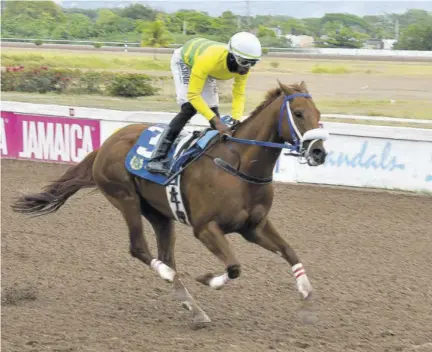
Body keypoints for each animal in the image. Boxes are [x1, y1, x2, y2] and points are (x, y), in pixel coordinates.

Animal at [11, 78, 330, 326]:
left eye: (318, 113)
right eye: (298, 113)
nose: (319, 152)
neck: (239, 167)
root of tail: (106, 144)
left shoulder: (254, 226)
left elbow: (289, 251)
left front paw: (306, 294)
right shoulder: (205, 228)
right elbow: (234, 267)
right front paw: (209, 279)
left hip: (159, 214)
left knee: (166, 256)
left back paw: (192, 307)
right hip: (124, 198)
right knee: (140, 248)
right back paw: (170, 279)